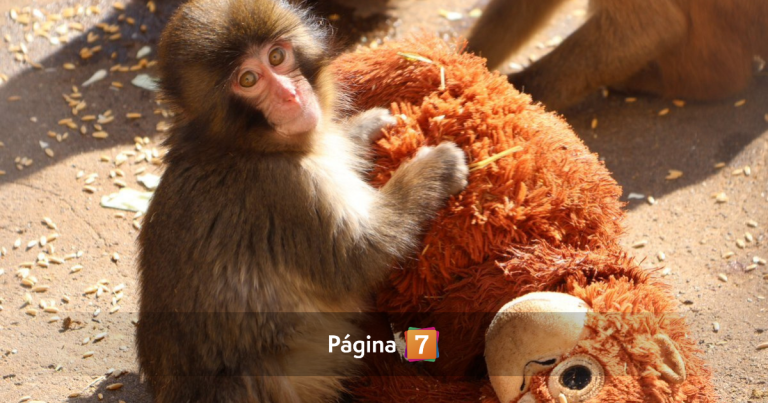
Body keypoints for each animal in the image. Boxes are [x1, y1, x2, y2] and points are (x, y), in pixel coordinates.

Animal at [135, 0, 468, 402]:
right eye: (248, 79)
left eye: (277, 56)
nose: (290, 95)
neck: (240, 146)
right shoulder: (286, 190)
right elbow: (359, 257)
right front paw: (436, 167)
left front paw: (366, 127)